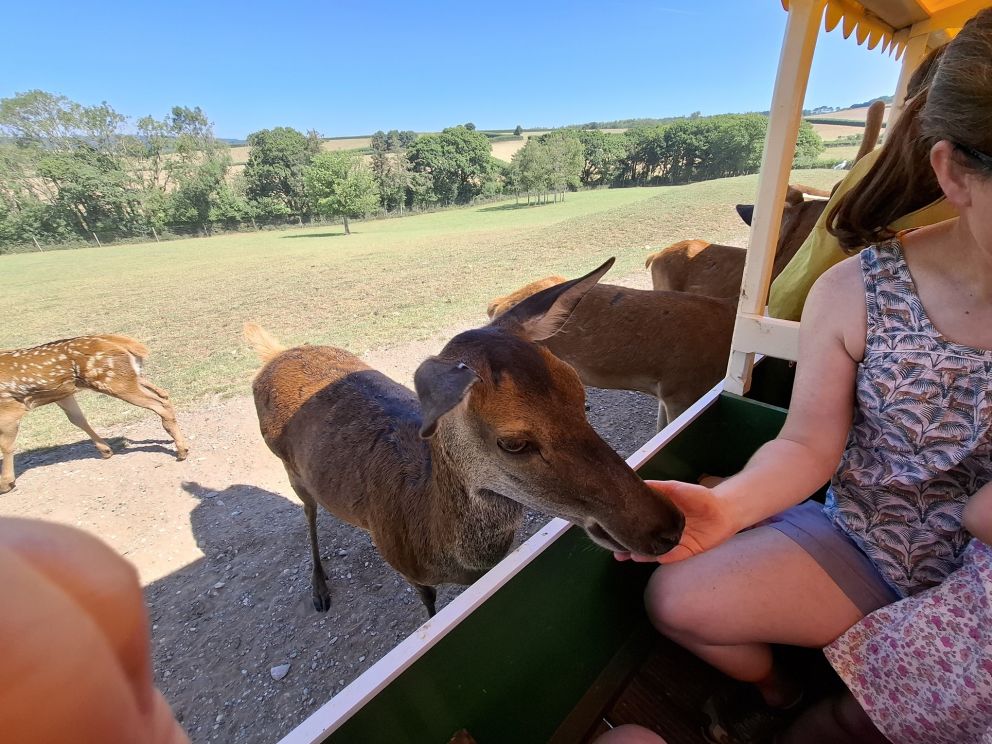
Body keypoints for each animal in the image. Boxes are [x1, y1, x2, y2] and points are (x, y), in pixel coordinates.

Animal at [0, 335, 188, 493]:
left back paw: (181, 451)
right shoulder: (63, 393)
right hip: (128, 378)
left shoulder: (10, 408)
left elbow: (6, 445)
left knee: (159, 404)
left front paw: (6, 483)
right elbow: (77, 419)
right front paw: (105, 450)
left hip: (114, 381)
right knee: (164, 395)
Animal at [246, 259, 684, 617]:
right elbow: (428, 605)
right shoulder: (405, 565)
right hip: (289, 469)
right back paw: (319, 589)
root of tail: (274, 356)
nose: (669, 526)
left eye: (583, 400)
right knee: (308, 511)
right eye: (513, 442)